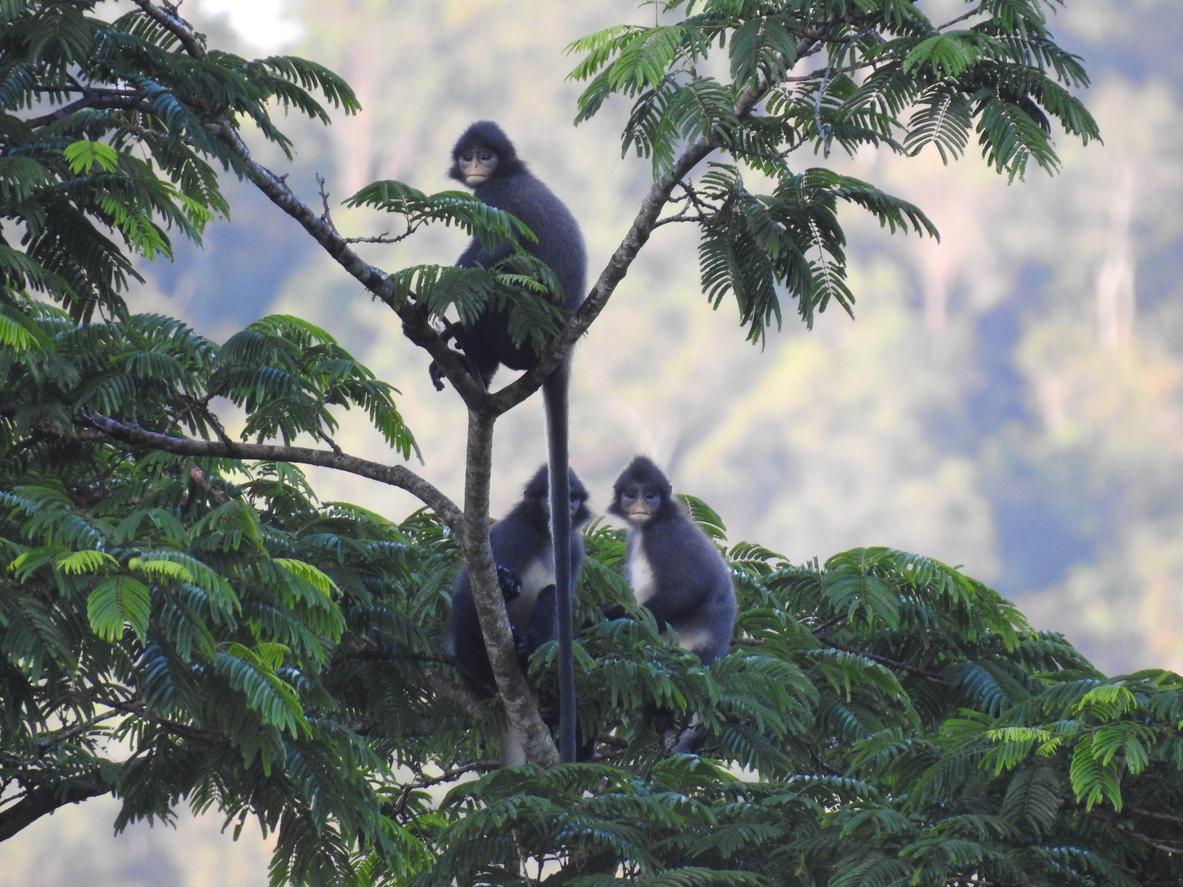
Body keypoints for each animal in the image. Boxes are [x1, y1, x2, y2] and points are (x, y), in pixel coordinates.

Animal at [444, 468, 591, 766]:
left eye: (574, 497)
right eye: (549, 494)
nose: (567, 504)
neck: (544, 534)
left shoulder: (573, 548)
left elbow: (560, 595)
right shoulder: (510, 533)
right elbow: (470, 590)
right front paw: (506, 584)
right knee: (465, 608)